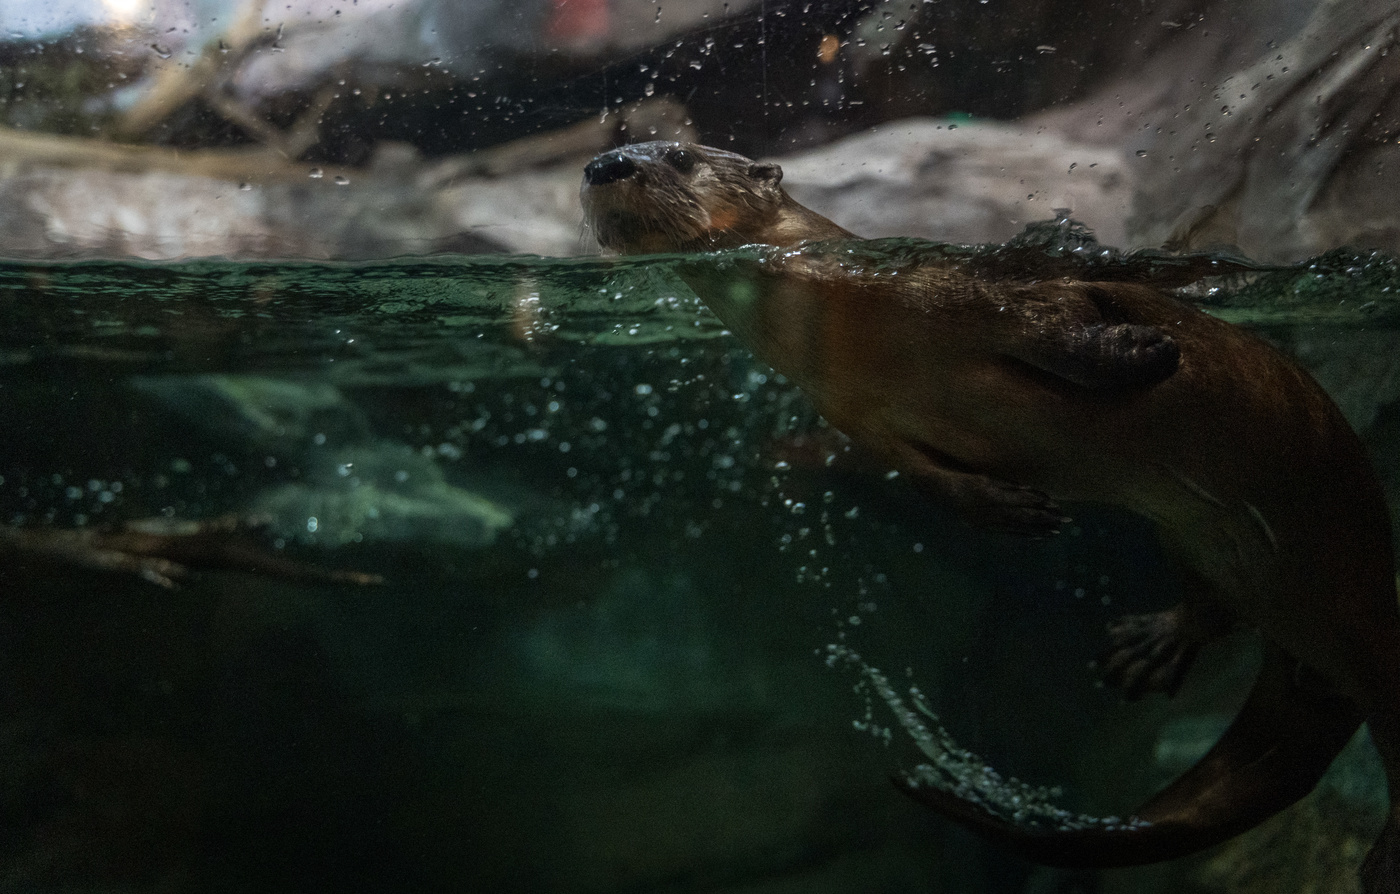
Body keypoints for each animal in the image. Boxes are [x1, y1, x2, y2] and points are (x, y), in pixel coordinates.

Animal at [581, 141, 1400, 892]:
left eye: (679, 157)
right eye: (618, 144)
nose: (604, 164)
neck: (848, 318)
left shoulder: (982, 294)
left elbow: (1066, 325)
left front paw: (1145, 351)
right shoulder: (855, 416)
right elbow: (924, 477)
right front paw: (1006, 508)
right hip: (1198, 541)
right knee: (1221, 605)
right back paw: (1153, 644)